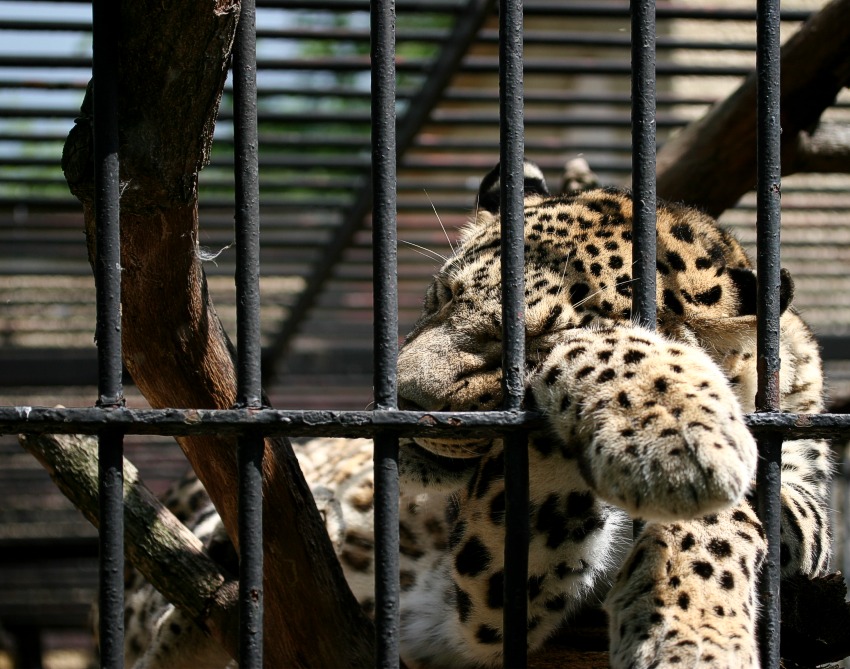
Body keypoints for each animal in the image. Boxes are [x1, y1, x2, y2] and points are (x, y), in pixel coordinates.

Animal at [122, 162, 832, 668]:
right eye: (439, 297)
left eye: (526, 346)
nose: (402, 397)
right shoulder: (484, 595)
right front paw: (679, 427)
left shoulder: (807, 502)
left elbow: (731, 519)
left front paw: (689, 634)